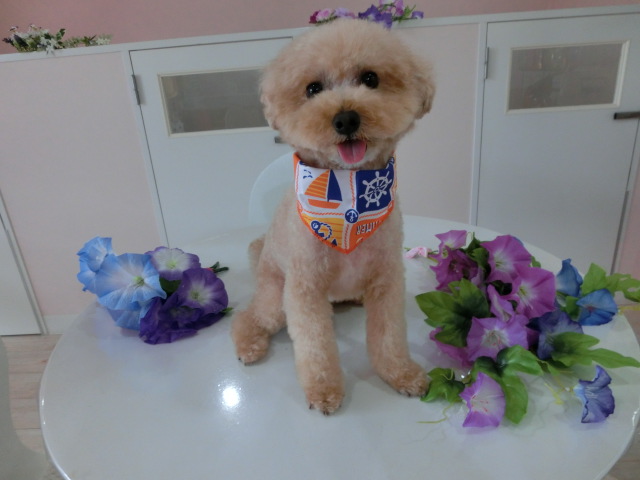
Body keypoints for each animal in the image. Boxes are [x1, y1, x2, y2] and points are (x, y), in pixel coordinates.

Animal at [231, 19, 435, 414]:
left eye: (370, 78)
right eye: (312, 88)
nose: (345, 118)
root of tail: (261, 253)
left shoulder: (387, 278)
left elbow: (389, 336)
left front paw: (401, 374)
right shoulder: (304, 287)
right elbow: (315, 345)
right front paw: (323, 390)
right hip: (275, 298)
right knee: (250, 316)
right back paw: (248, 344)